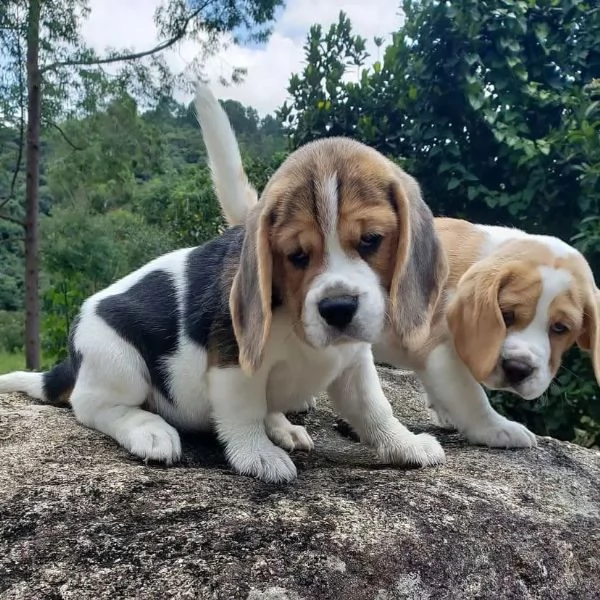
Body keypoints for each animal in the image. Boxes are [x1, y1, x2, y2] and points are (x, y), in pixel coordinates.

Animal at [0, 88, 448, 482]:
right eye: (296, 255)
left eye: (371, 240)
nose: (338, 308)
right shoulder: (233, 362)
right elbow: (242, 410)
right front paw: (257, 454)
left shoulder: (354, 363)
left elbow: (375, 409)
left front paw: (405, 444)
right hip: (117, 358)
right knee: (94, 406)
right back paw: (149, 429)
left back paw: (282, 426)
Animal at [204, 86, 596, 448]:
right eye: (507, 315)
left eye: (561, 328)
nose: (519, 369)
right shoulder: (441, 354)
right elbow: (472, 397)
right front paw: (498, 428)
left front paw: (445, 413)